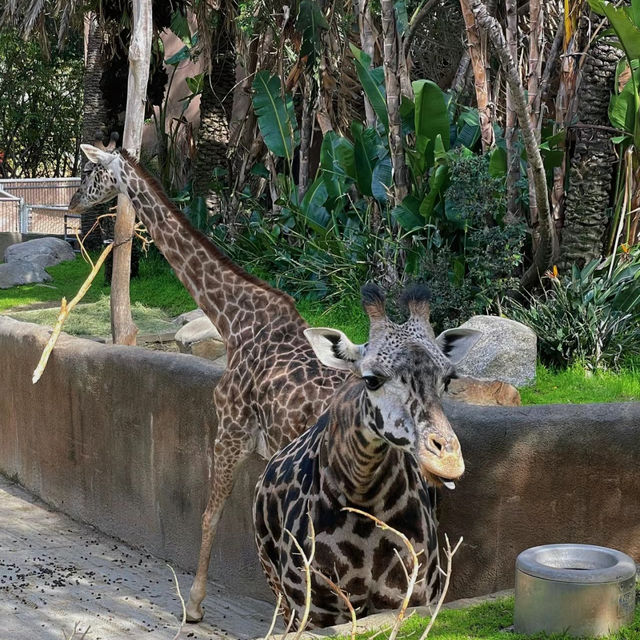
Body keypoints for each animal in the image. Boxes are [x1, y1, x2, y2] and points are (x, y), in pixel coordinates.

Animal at [67, 142, 350, 624]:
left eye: (89, 171)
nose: (71, 204)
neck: (232, 319)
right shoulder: (258, 447)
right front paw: (281, 606)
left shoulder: (230, 430)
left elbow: (211, 515)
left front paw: (196, 605)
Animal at [251, 284, 480, 624]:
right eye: (372, 379)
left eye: (448, 379)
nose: (448, 460)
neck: (363, 494)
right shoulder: (314, 608)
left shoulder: (410, 598)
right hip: (278, 590)